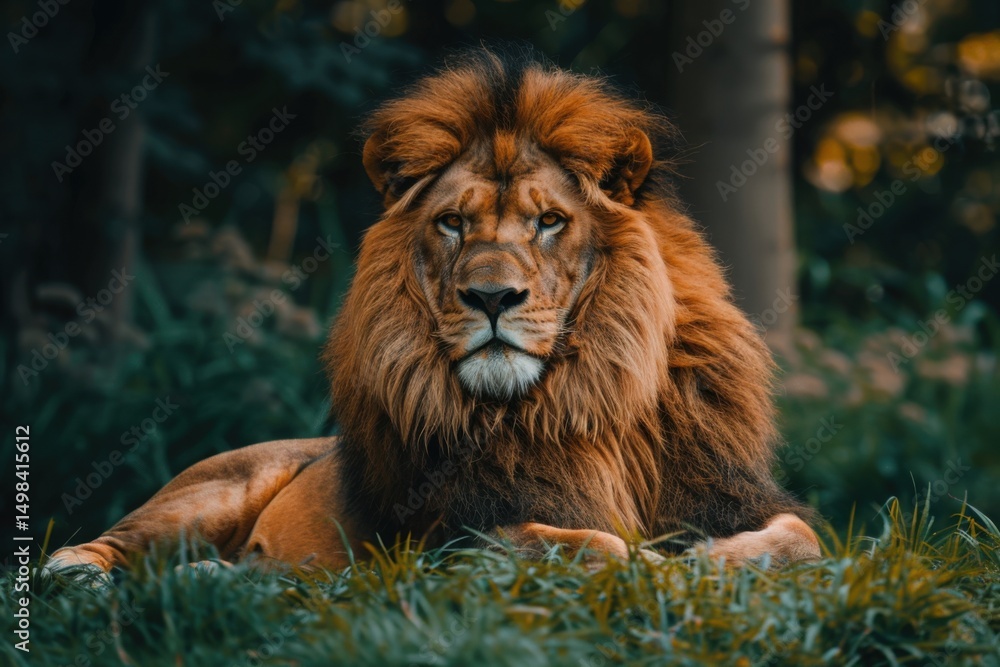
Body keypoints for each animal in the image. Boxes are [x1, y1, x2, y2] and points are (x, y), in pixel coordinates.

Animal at [47, 48, 820, 576]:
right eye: (452, 223)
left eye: (548, 221)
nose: (491, 298)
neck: (582, 396)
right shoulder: (449, 539)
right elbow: (585, 541)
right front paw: (660, 565)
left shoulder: (727, 494)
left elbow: (801, 538)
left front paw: (709, 561)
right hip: (215, 488)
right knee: (106, 542)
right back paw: (84, 576)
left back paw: (219, 577)